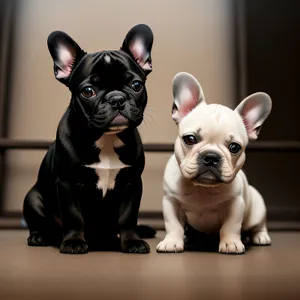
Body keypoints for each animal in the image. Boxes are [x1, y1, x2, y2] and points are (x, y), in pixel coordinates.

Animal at [22, 24, 155, 253]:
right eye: (88, 91)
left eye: (137, 85)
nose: (116, 98)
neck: (106, 138)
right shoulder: (67, 184)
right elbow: (73, 216)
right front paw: (73, 242)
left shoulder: (132, 183)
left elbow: (128, 216)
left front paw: (132, 241)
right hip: (32, 198)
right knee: (39, 222)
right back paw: (39, 237)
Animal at [158, 72, 274, 253]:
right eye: (190, 139)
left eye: (234, 147)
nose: (211, 156)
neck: (202, 189)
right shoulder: (170, 202)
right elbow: (173, 225)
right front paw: (171, 242)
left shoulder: (235, 205)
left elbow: (230, 226)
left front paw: (231, 243)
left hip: (257, 207)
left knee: (258, 225)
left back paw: (261, 237)